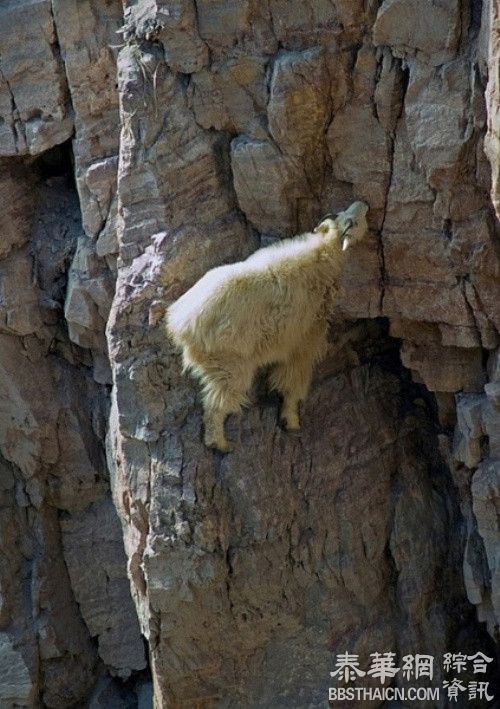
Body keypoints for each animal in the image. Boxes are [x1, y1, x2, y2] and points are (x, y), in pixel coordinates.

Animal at [166, 202, 370, 450]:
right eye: (352, 222)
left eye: (343, 215)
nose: (363, 204)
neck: (324, 255)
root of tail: (181, 324)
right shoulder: (306, 335)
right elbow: (293, 379)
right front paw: (291, 420)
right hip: (228, 358)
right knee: (220, 397)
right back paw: (220, 443)